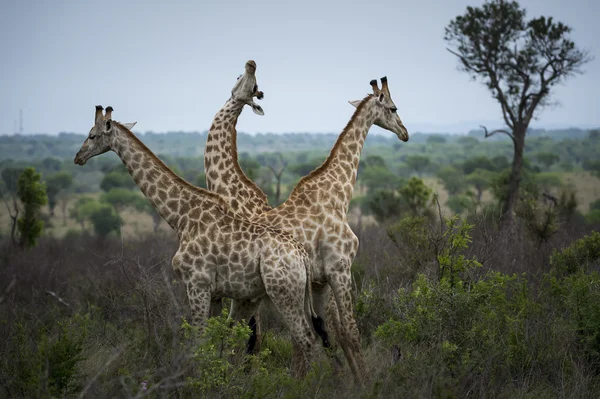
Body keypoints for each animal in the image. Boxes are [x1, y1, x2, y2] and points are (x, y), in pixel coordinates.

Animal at [73, 106, 322, 378]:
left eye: (92, 135)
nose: (78, 157)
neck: (181, 218)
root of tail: (303, 257)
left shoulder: (197, 284)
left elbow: (199, 340)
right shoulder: (215, 293)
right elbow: (214, 341)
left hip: (283, 292)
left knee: (307, 339)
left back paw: (306, 382)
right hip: (281, 295)